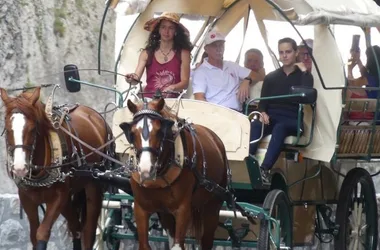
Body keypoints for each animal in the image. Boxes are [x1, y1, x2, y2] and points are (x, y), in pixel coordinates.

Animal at [0, 86, 112, 250]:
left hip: (94, 185)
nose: (20, 168)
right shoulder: (27, 199)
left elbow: (42, 233)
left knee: (88, 230)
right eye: (8, 130)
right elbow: (33, 235)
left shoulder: (59, 197)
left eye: (32, 129)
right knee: (75, 226)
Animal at [120, 98, 229, 250]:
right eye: (132, 133)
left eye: (160, 131)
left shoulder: (183, 210)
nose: (146, 170)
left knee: (207, 239)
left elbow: (178, 245)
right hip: (167, 214)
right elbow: (145, 245)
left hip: (212, 207)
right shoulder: (141, 208)